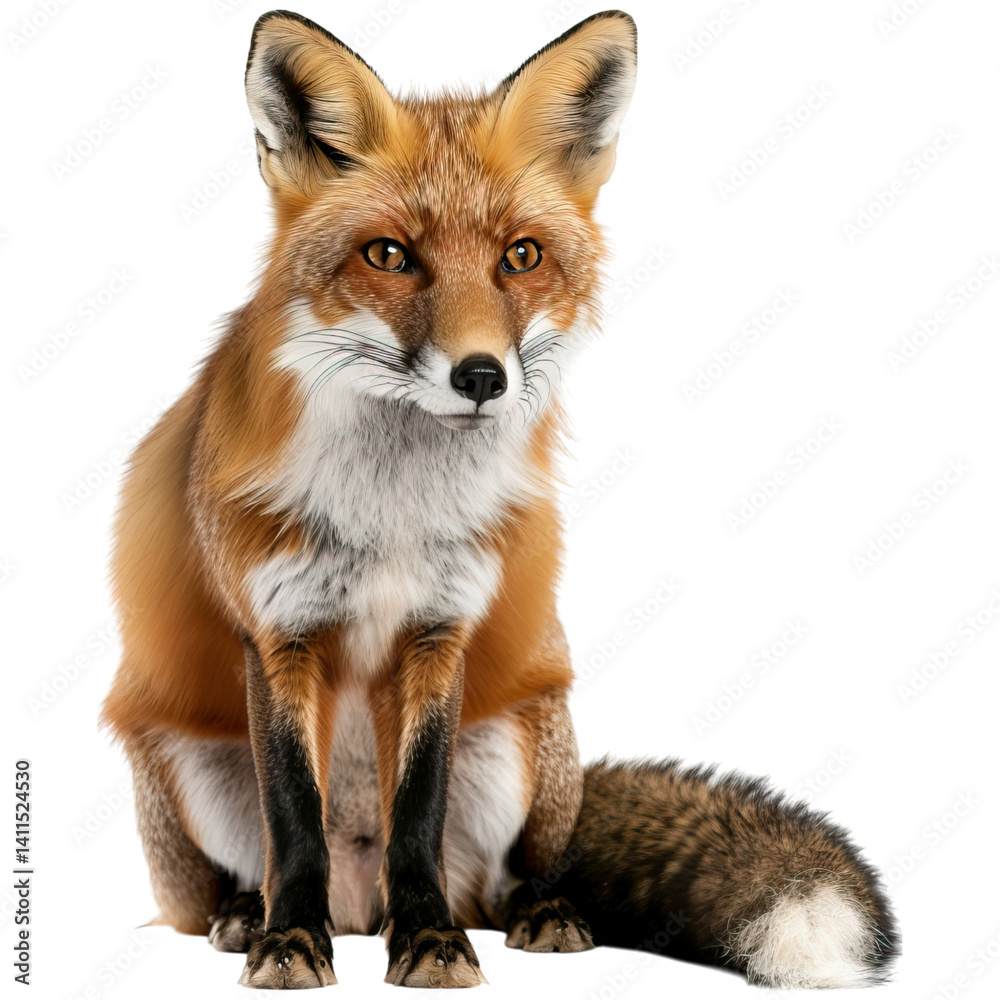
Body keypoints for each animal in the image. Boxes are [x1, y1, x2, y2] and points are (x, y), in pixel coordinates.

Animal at [101, 8, 899, 991]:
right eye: (390, 256)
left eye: (521, 257)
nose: (481, 376)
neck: (394, 514)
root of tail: (357, 908)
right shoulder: (280, 633)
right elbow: (295, 820)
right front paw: (289, 941)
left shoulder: (441, 630)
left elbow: (416, 814)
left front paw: (430, 942)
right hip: (182, 763)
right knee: (247, 876)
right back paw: (248, 915)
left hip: (530, 744)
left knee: (506, 877)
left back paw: (532, 915)